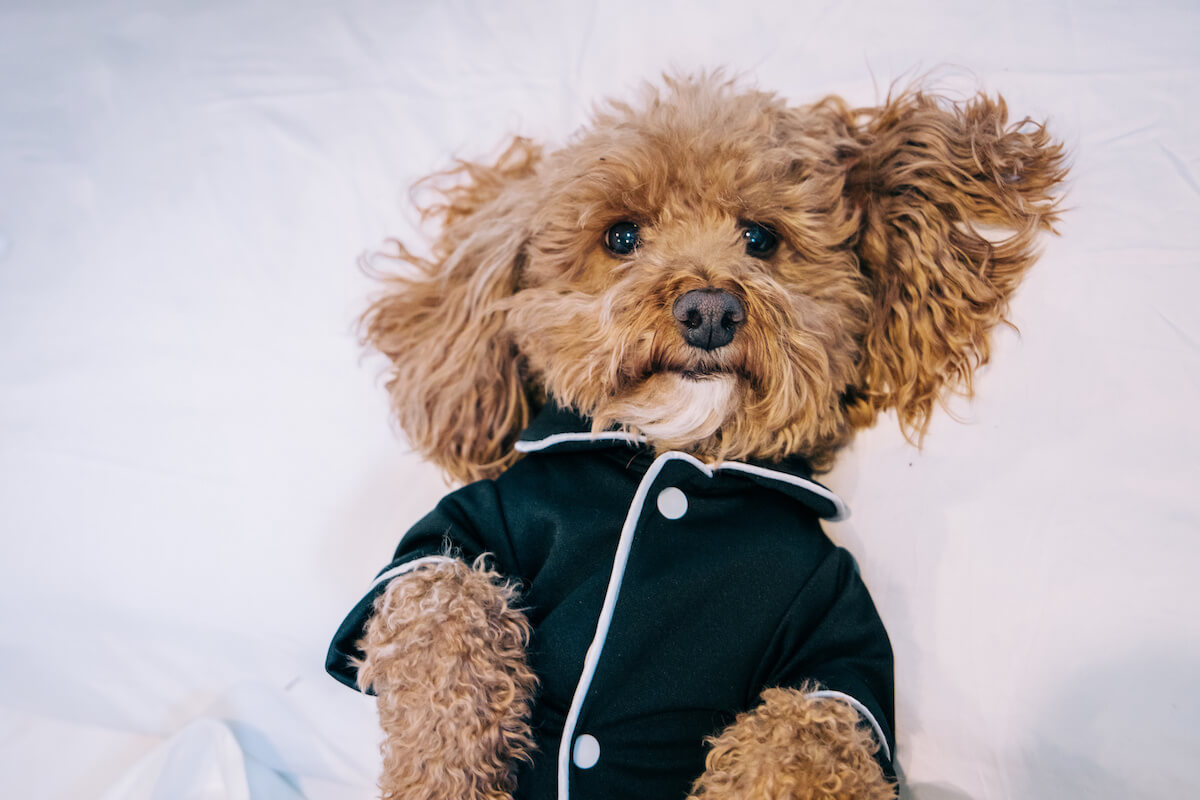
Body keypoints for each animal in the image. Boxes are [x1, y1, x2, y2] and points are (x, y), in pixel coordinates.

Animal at [324, 70, 1065, 800]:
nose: (711, 310)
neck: (672, 458)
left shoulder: (833, 624)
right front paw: (442, 775)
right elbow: (442, 611)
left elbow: (807, 733)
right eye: (622, 237)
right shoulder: (464, 531)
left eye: (760, 238)